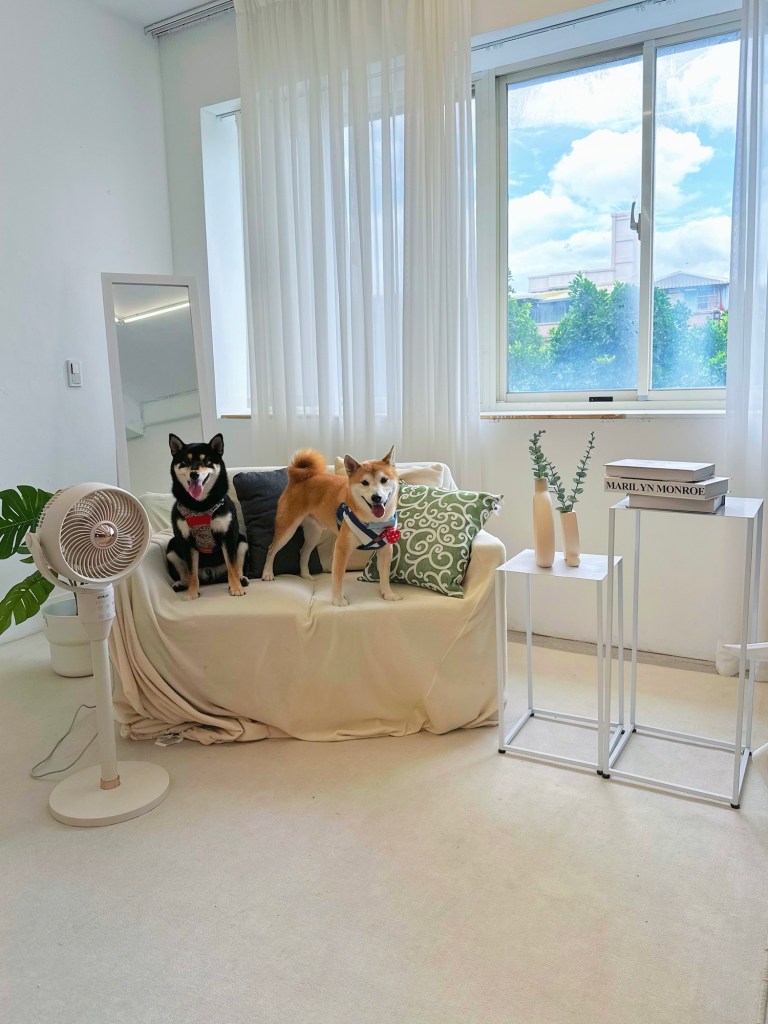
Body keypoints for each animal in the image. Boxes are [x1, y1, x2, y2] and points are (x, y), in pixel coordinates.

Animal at [165, 433, 249, 600]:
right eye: (186, 461)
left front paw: (236, 588)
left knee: (235, 567)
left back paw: (241, 579)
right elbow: (191, 571)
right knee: (187, 574)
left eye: (206, 461)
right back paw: (181, 584)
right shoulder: (186, 540)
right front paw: (191, 593)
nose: (194, 473)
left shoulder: (228, 535)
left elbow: (232, 566)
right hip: (171, 548)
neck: (200, 506)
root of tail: (211, 574)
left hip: (242, 542)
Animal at [262, 446, 401, 606]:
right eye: (364, 482)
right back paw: (267, 573)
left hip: (313, 533)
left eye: (384, 480)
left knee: (304, 552)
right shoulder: (341, 548)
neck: (373, 521)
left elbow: (384, 576)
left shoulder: (385, 549)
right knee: (271, 549)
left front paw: (388, 594)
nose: (376, 497)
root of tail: (298, 478)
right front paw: (338, 600)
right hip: (287, 528)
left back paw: (306, 575)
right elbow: (338, 577)